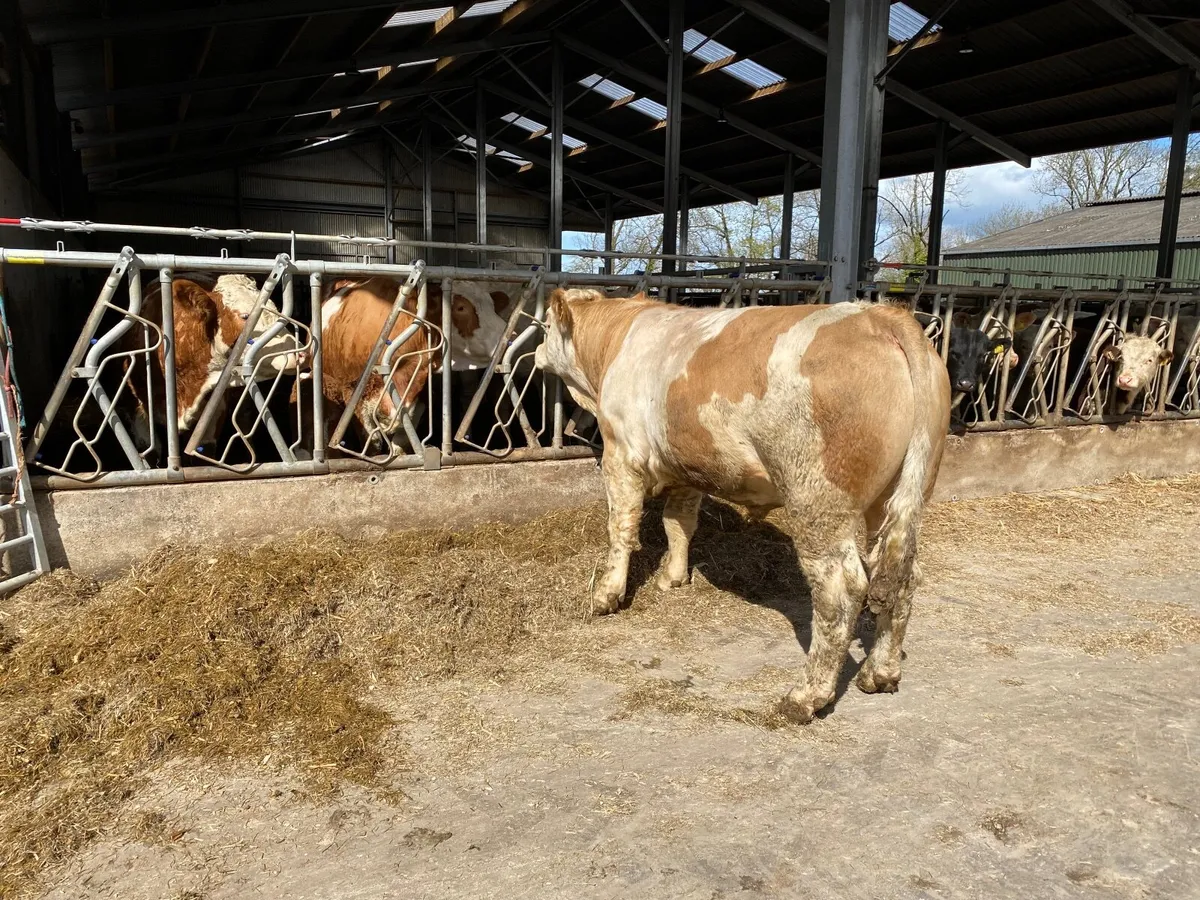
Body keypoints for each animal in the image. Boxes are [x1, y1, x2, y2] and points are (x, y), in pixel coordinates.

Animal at [534, 291, 951, 723]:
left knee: (840, 590)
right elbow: (678, 522)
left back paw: (805, 697)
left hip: (817, 498)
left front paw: (606, 595)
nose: (536, 352)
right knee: (906, 576)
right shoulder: (688, 464)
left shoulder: (620, 452)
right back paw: (880, 672)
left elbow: (621, 526)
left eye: (544, 326)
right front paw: (674, 577)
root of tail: (881, 317)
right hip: (899, 494)